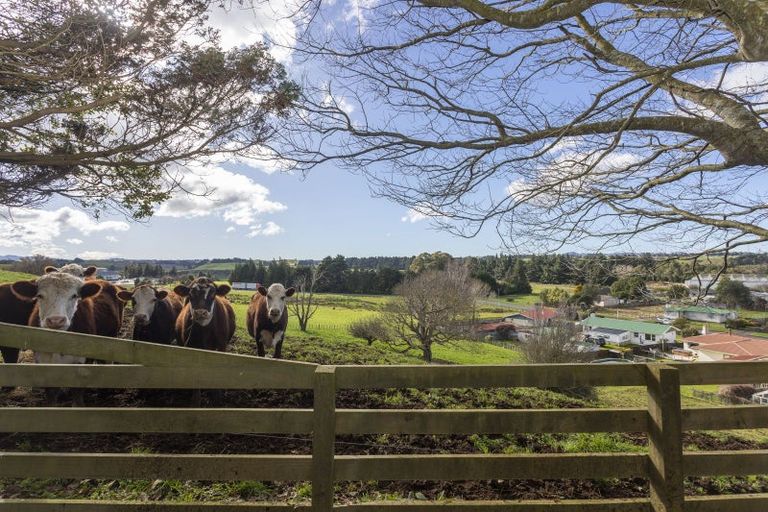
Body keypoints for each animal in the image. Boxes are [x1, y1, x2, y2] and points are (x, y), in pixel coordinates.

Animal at [10, 274, 117, 406]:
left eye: (74, 296)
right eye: (40, 295)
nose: (56, 320)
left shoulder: (83, 363)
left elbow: (77, 396)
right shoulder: (43, 362)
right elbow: (51, 395)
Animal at [174, 278, 234, 406]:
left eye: (213, 293)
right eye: (191, 294)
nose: (201, 312)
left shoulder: (221, 347)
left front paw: (217, 396)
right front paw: (195, 400)